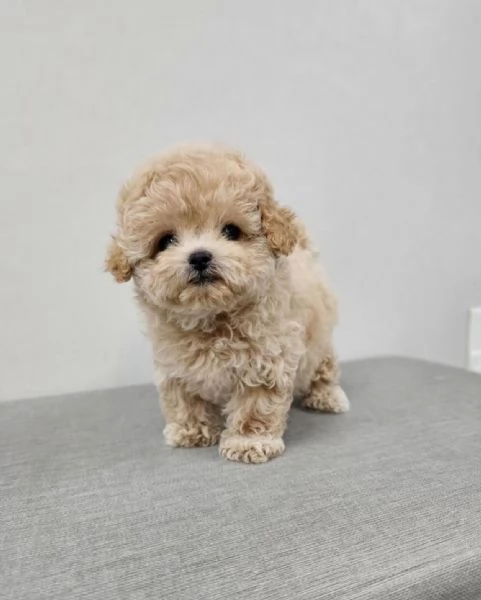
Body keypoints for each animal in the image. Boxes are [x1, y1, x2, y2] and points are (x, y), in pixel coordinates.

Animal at [105, 145, 346, 464]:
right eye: (166, 240)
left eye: (231, 231)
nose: (199, 256)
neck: (212, 318)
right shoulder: (175, 366)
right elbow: (183, 399)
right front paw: (190, 431)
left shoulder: (267, 359)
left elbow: (255, 405)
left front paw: (248, 442)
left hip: (320, 339)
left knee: (324, 367)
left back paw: (327, 396)